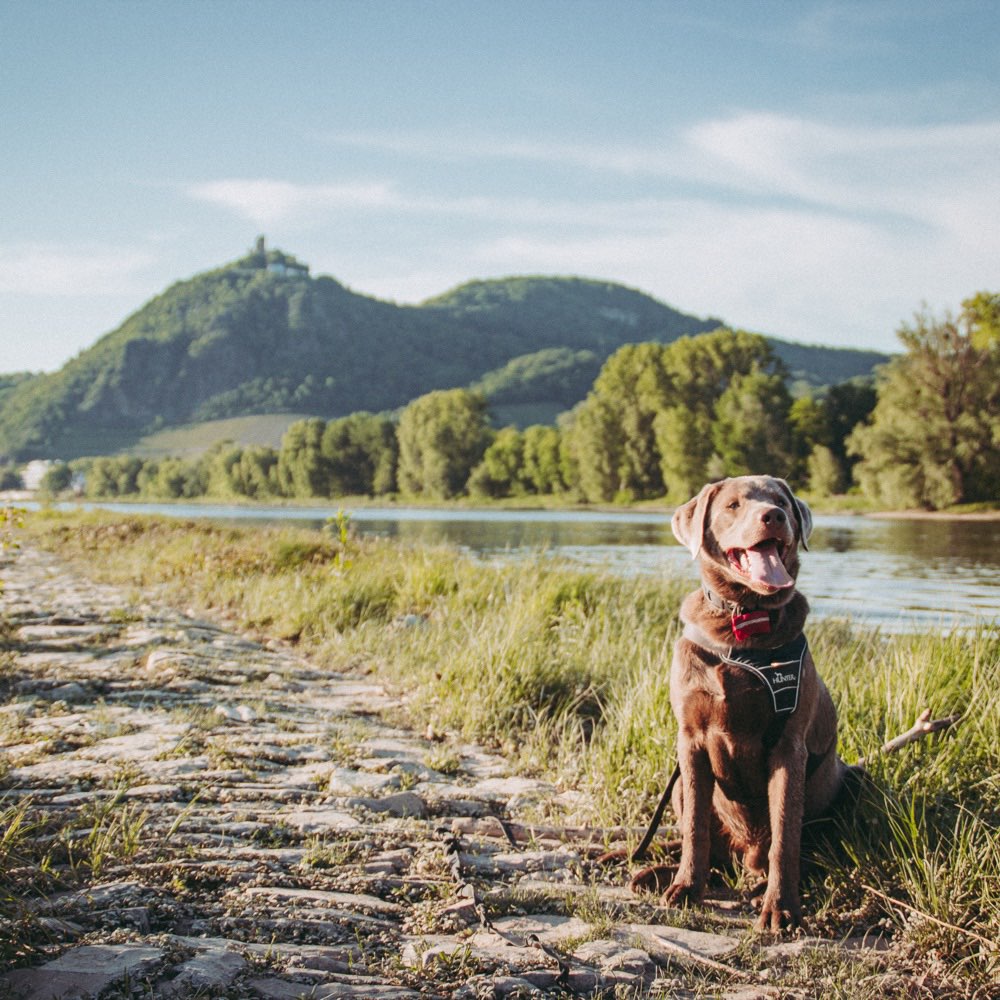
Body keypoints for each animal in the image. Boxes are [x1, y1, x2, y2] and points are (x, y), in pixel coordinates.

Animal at [644, 474, 856, 928]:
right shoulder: (690, 740)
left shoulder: (789, 746)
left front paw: (782, 907)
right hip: (677, 786)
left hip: (853, 779)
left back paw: (763, 886)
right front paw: (687, 887)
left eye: (781, 502)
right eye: (733, 505)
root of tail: (745, 856)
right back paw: (656, 874)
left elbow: (784, 834)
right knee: (710, 846)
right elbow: (695, 828)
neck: (742, 623)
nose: (773, 516)